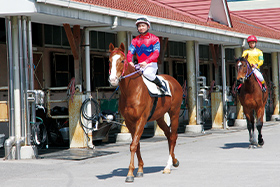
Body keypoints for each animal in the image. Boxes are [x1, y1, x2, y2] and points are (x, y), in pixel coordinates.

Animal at [108, 43, 183, 182]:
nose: (113, 79)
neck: (132, 91)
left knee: (173, 136)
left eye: (122, 60)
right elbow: (136, 144)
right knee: (169, 135)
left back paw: (168, 166)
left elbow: (133, 145)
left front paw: (130, 174)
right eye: (110, 61)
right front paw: (140, 170)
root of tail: (173, 81)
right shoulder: (129, 122)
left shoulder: (141, 120)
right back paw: (175, 161)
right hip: (159, 117)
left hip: (174, 113)